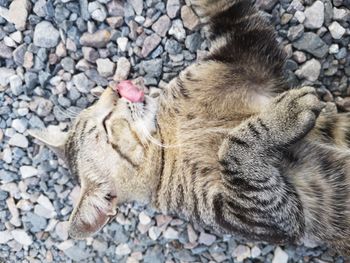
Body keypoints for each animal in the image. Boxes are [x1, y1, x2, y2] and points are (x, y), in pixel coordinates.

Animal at [30, 0, 350, 256]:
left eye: (99, 102)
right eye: (106, 124)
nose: (116, 88)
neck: (170, 135)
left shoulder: (242, 55)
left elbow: (222, 9)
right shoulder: (261, 217)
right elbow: (234, 147)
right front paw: (286, 116)